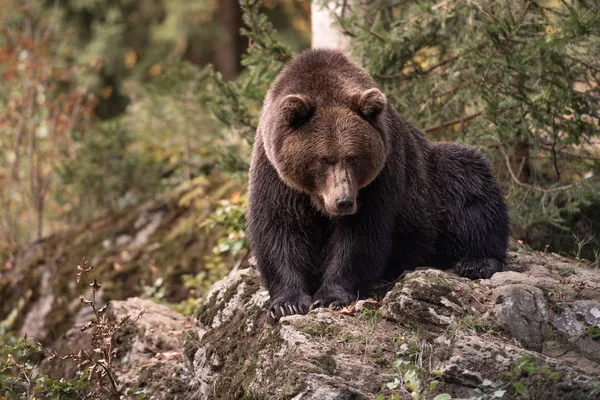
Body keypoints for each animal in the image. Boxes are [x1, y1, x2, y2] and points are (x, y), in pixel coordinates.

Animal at [246, 50, 508, 324]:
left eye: (353, 157)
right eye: (323, 159)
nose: (343, 201)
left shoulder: (381, 175)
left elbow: (360, 235)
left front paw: (331, 296)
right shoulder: (274, 174)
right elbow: (279, 229)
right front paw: (287, 304)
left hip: (434, 182)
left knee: (470, 183)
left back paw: (477, 261)